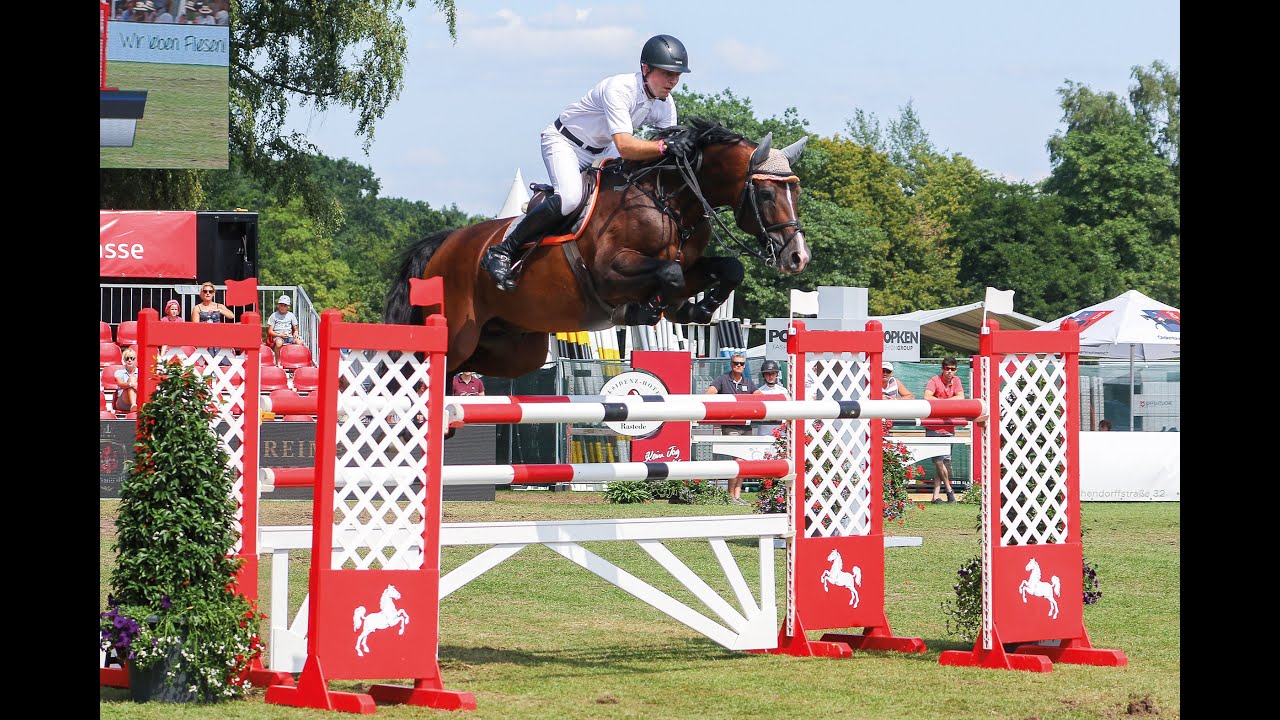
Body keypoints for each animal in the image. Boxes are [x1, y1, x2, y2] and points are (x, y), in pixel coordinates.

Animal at [384, 117, 812, 378]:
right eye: (766, 193)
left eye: (796, 191)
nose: (798, 257)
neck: (670, 200)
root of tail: (445, 245)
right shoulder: (611, 272)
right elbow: (669, 274)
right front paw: (648, 309)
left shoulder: (691, 265)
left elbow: (725, 269)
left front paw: (697, 308)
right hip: (456, 334)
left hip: (513, 349)